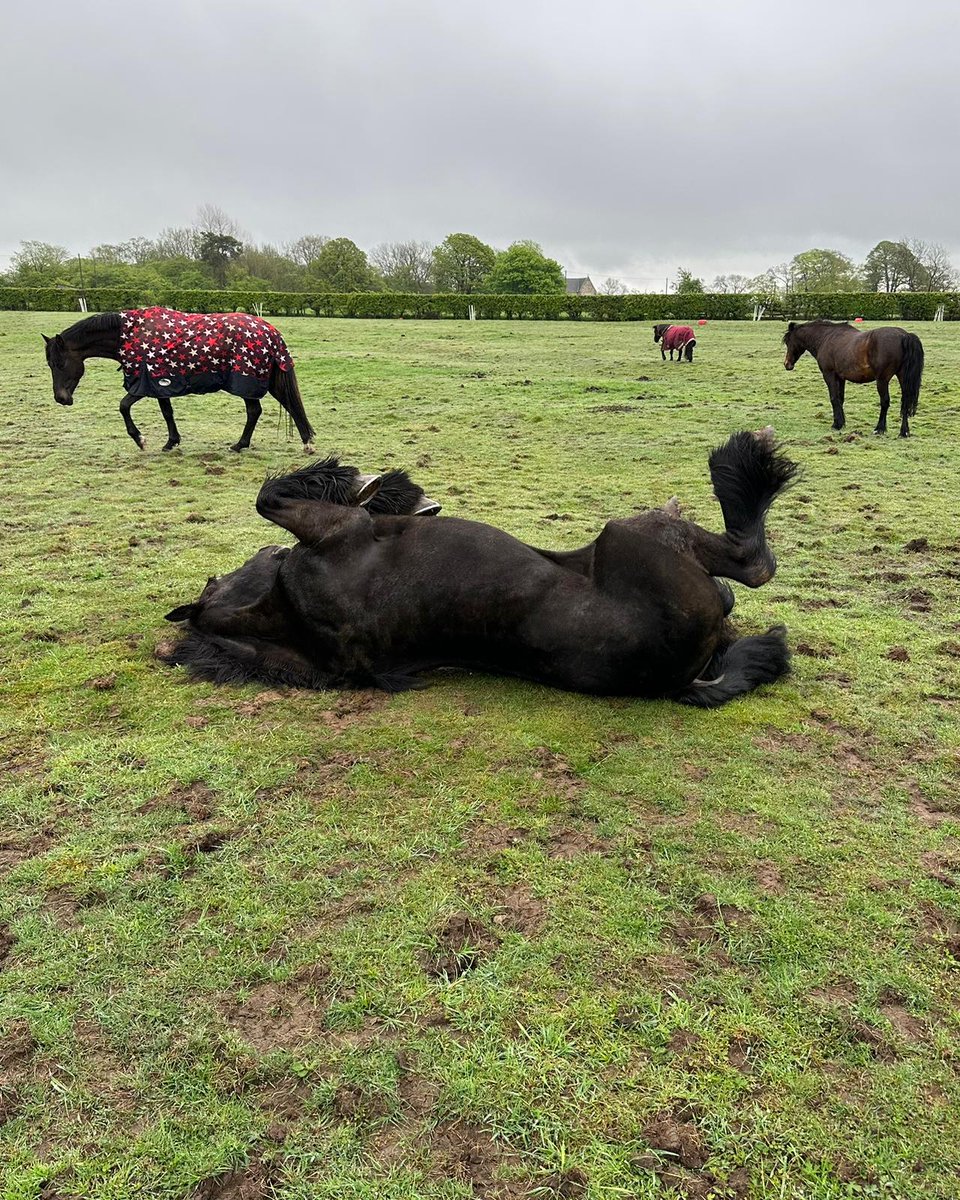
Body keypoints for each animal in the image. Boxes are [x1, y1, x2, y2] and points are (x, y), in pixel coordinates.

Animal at [43, 306, 316, 453]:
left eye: (59, 364)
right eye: (49, 364)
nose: (61, 399)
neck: (130, 335)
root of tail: (270, 331)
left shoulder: (144, 383)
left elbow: (123, 406)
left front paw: (140, 440)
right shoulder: (160, 384)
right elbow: (167, 413)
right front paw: (171, 442)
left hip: (249, 381)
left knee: (269, 409)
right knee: (265, 410)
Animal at [159, 429, 798, 707]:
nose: (267, 555)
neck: (295, 618)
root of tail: (679, 679)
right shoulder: (334, 529)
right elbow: (269, 497)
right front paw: (379, 485)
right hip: (628, 534)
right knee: (752, 564)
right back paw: (745, 461)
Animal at [782, 320, 924, 437]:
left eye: (788, 342)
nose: (787, 364)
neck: (826, 338)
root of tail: (904, 336)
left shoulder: (829, 375)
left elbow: (834, 398)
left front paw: (836, 424)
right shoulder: (841, 378)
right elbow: (840, 399)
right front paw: (841, 422)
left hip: (882, 380)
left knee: (885, 402)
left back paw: (879, 429)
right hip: (903, 378)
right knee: (905, 402)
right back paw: (904, 432)